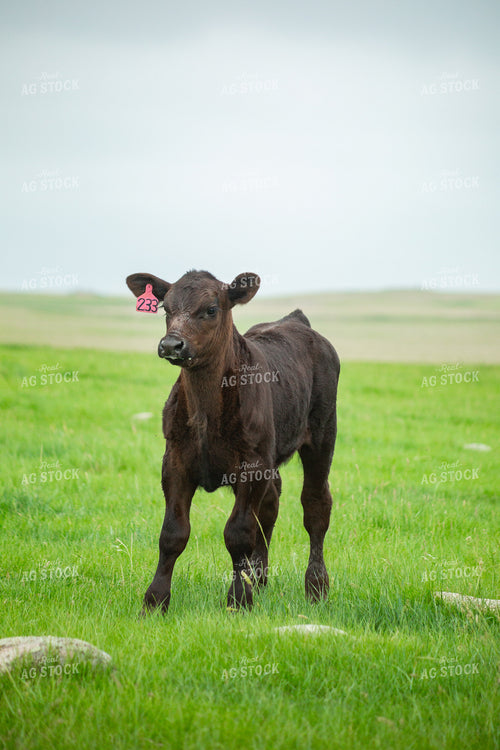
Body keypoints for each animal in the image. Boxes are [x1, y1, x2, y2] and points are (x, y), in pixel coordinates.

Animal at [126, 270, 340, 613]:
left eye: (211, 309)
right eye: (165, 308)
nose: (172, 344)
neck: (205, 412)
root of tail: (296, 321)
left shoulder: (251, 467)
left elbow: (238, 533)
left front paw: (238, 600)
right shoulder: (175, 462)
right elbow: (172, 533)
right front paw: (155, 600)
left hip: (322, 435)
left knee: (316, 505)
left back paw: (316, 587)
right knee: (271, 504)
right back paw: (260, 578)